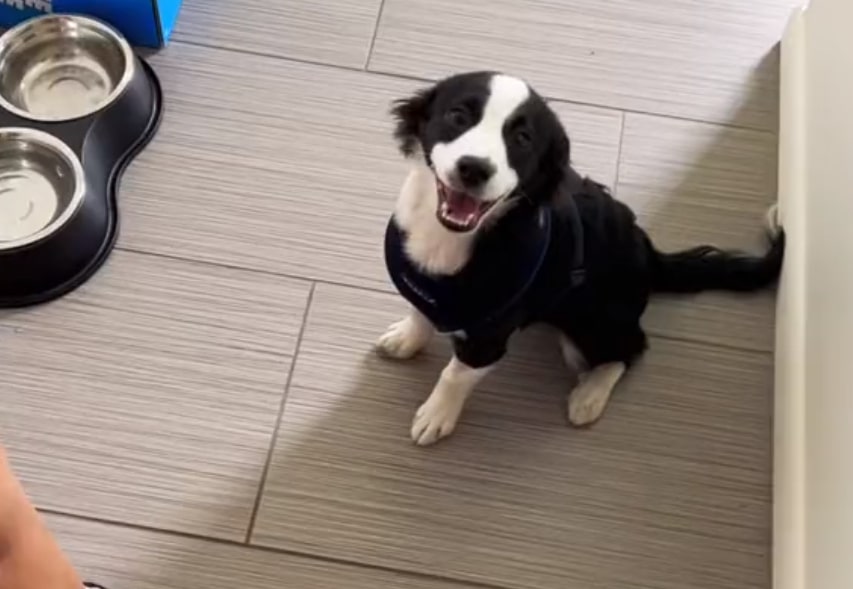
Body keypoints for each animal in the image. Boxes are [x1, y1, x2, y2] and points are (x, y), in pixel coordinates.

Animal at [380, 70, 784, 446]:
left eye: (522, 139)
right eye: (458, 115)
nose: (474, 168)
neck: (451, 237)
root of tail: (649, 255)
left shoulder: (489, 336)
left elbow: (455, 374)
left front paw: (437, 415)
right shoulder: (427, 290)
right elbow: (420, 313)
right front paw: (406, 339)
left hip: (592, 325)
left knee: (630, 348)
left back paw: (590, 396)